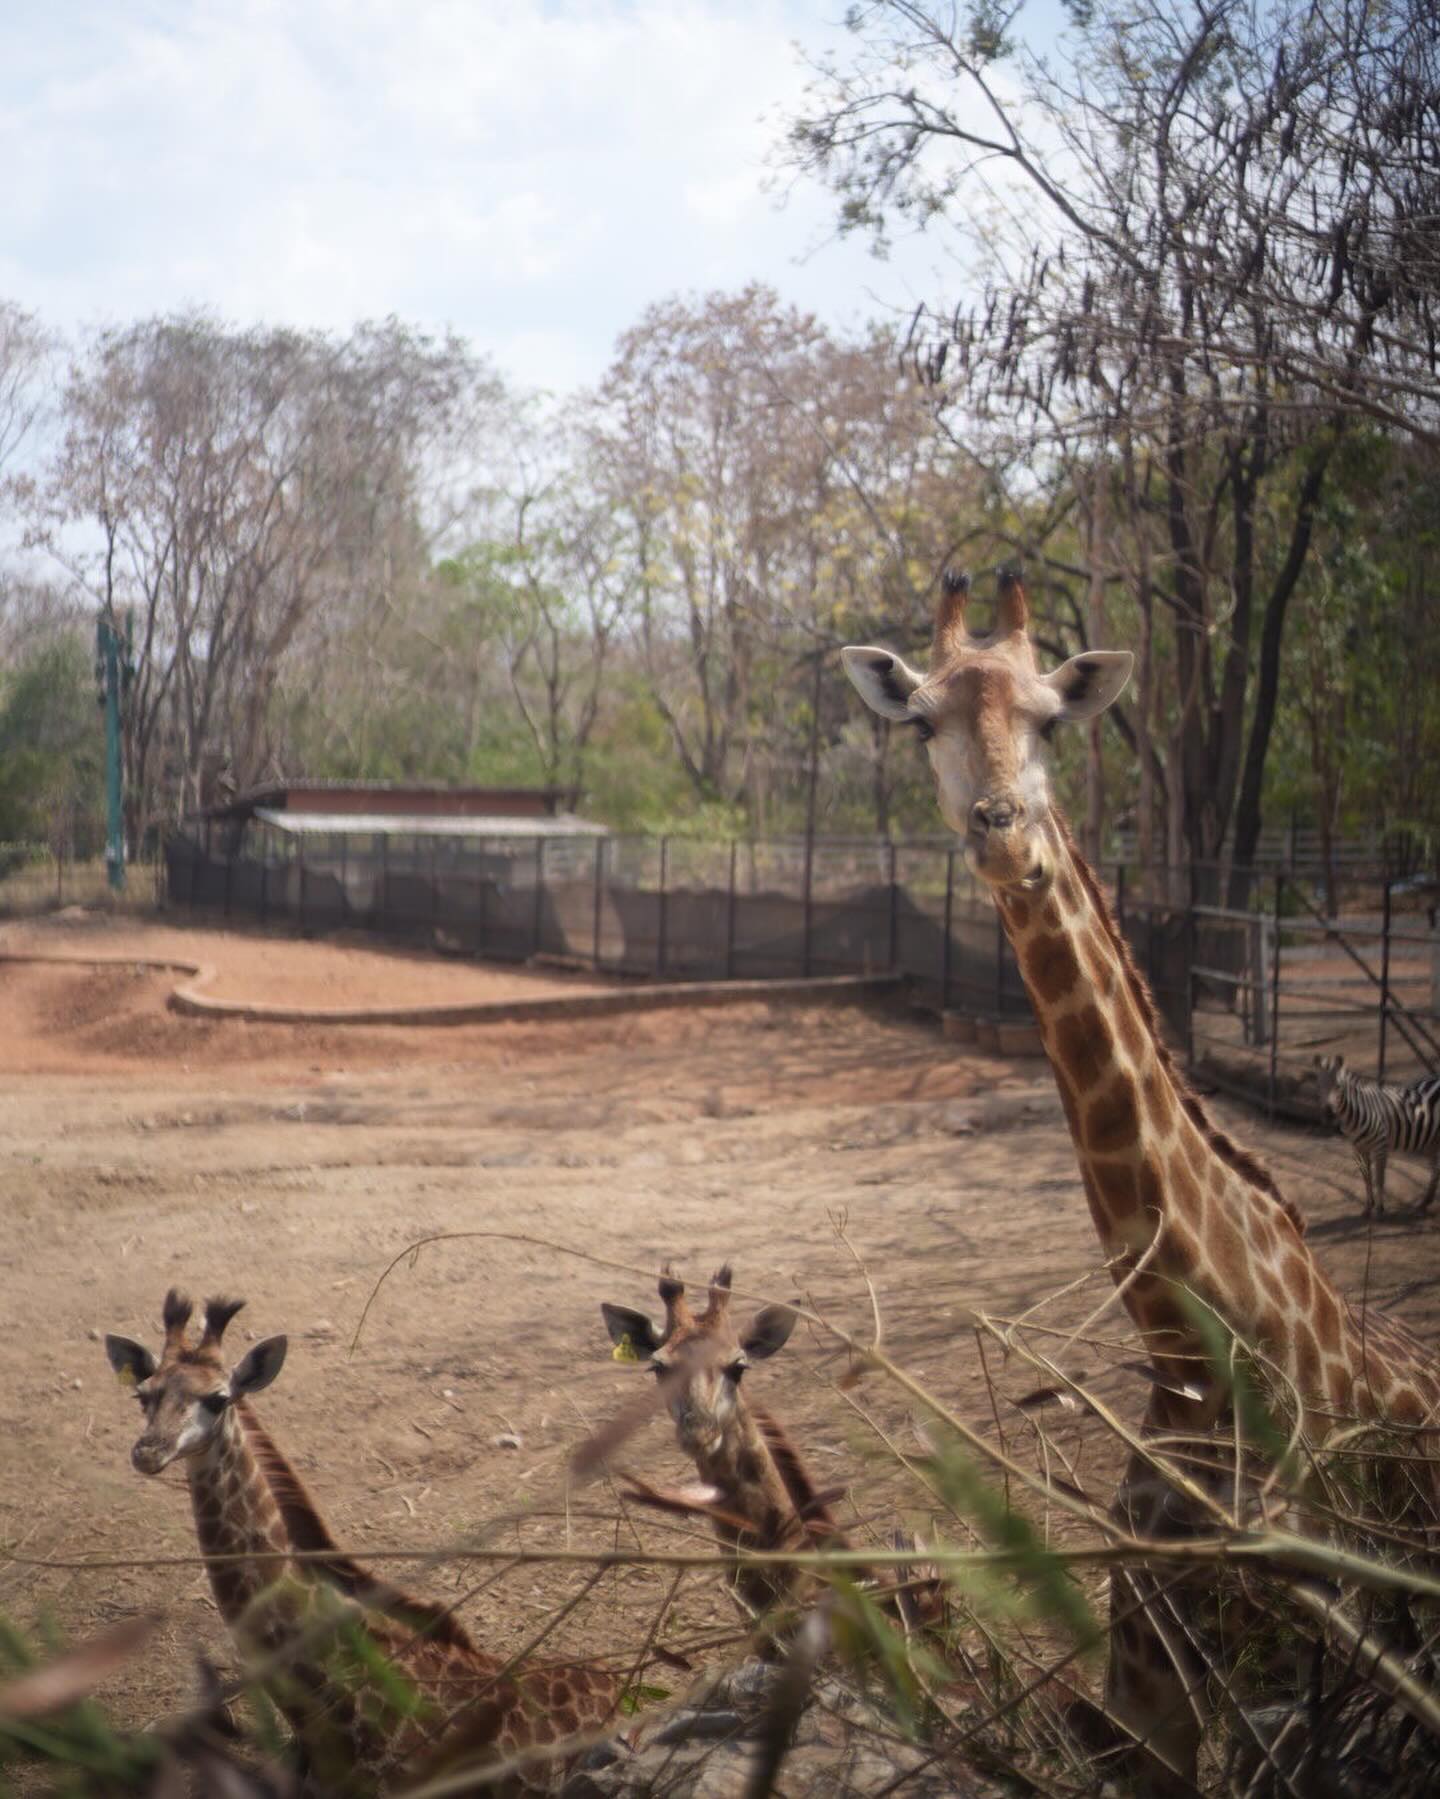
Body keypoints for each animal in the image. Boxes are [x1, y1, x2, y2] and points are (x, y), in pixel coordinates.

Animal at [1310, 1050, 1440, 1223]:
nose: (1329, 1114)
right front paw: (1367, 1208)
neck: (1355, 1114)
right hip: (1431, 1140)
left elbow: (1379, 1179)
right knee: (1435, 1168)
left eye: (1338, 1086)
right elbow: (1367, 1178)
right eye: (1319, 1086)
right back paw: (1424, 1204)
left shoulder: (1380, 1146)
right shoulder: (1358, 1148)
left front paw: (1379, 1210)